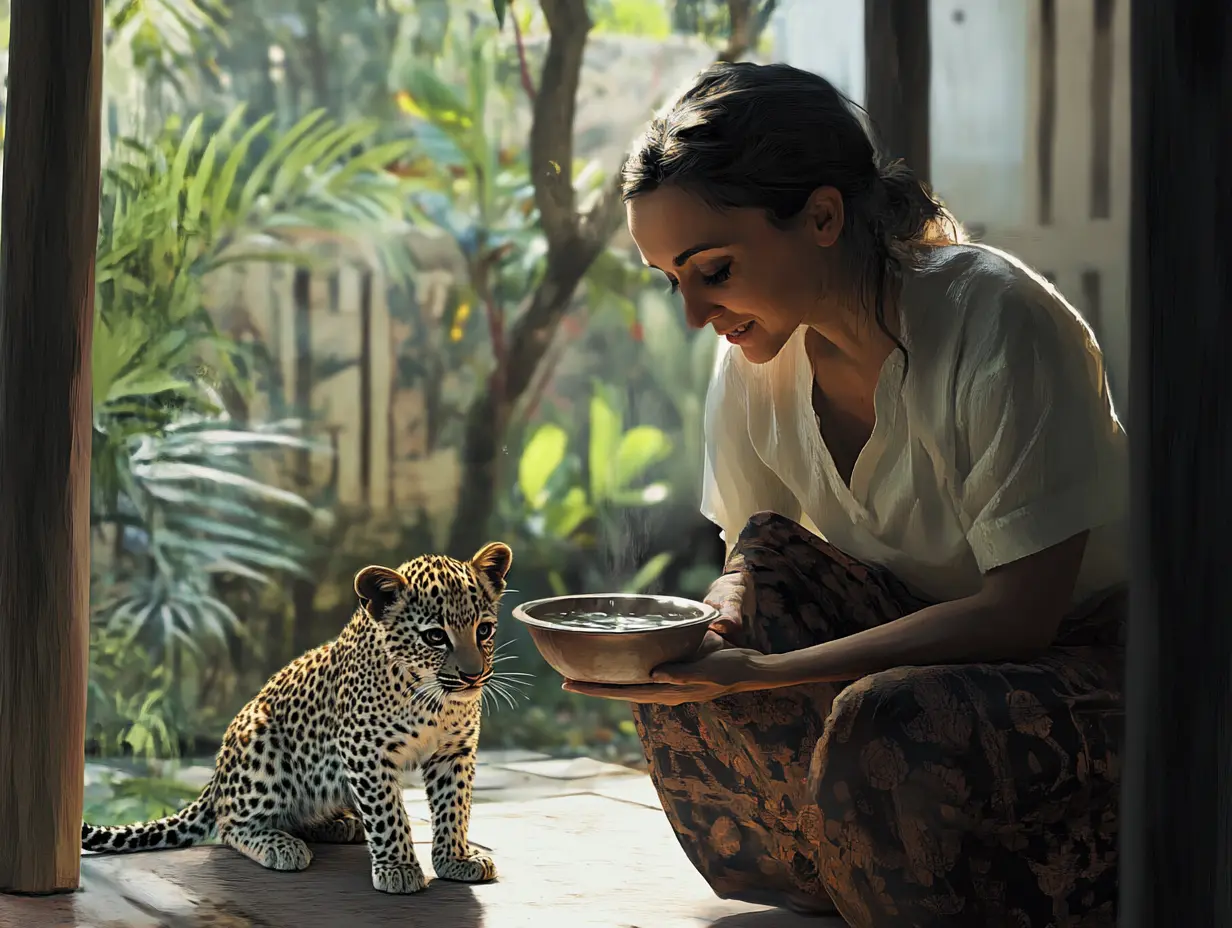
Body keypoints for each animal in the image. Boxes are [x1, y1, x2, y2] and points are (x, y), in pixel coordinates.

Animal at [82, 541, 515, 895]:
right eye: (435, 637)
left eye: (484, 630)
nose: (473, 675)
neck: (435, 701)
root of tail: (216, 778)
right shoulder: (365, 751)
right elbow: (387, 811)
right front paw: (399, 868)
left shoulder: (454, 751)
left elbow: (454, 806)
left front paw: (455, 859)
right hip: (260, 742)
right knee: (229, 823)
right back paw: (281, 845)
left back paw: (339, 825)